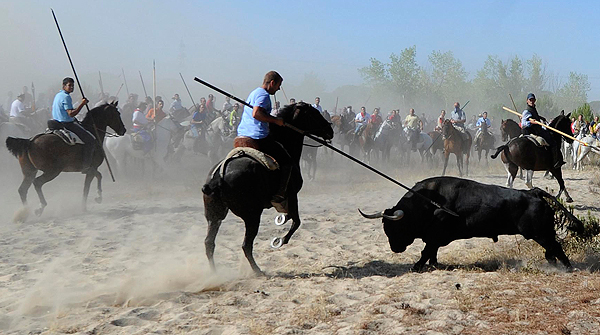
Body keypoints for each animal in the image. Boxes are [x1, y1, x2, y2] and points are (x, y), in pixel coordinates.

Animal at [200, 102, 332, 276]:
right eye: (315, 113)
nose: (330, 130)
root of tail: (218, 177)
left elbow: (290, 216)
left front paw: (283, 219)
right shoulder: (292, 195)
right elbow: (296, 221)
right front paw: (281, 240)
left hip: (214, 215)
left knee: (209, 243)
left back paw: (215, 274)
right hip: (252, 215)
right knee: (246, 245)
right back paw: (257, 271)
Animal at [360, 177, 580, 272]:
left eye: (395, 228)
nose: (395, 248)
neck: (427, 202)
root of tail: (533, 192)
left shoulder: (434, 236)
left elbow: (426, 251)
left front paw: (417, 266)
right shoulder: (435, 238)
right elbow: (432, 252)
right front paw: (433, 264)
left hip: (541, 234)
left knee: (556, 248)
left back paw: (568, 268)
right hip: (543, 234)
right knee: (552, 250)